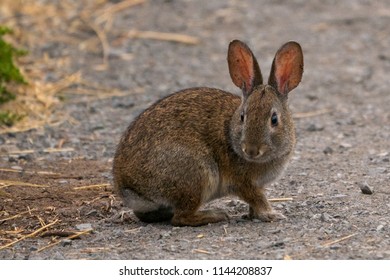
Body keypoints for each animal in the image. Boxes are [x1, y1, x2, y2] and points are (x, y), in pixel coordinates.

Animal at [111, 39, 304, 226]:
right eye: (242, 116)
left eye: (274, 119)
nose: (251, 150)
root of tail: (129, 189)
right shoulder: (242, 183)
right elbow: (257, 199)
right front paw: (271, 215)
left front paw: (255, 215)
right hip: (198, 174)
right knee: (181, 218)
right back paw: (215, 215)